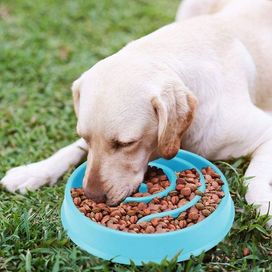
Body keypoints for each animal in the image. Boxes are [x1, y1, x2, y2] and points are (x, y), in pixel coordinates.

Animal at [2, 0, 272, 225]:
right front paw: (34, 171)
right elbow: (69, 150)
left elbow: (254, 177)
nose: (93, 196)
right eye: (86, 137)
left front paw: (263, 205)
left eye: (126, 144)